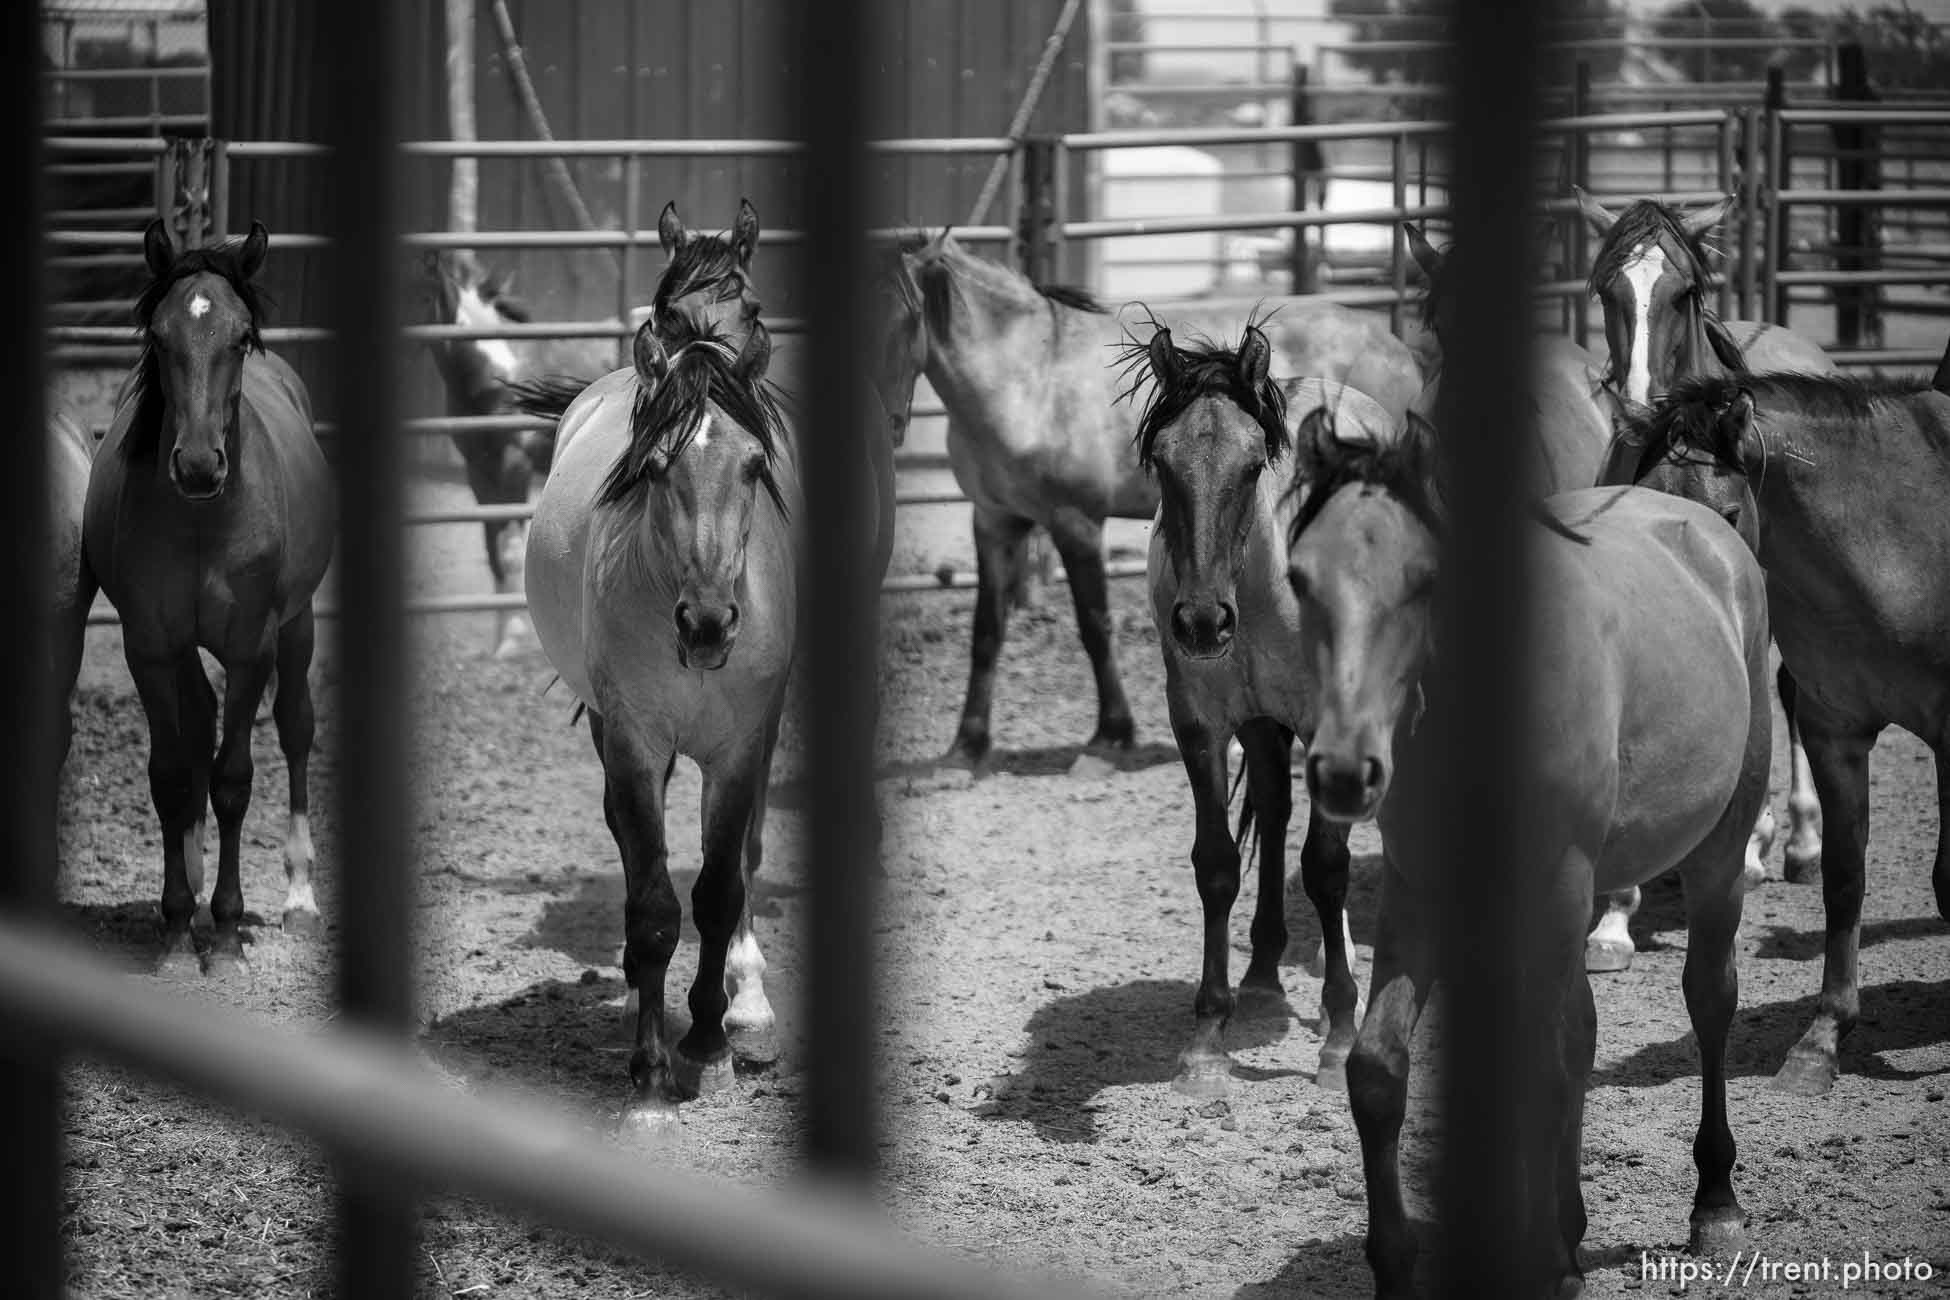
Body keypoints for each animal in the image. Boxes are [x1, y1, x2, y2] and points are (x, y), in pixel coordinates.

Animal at [81, 226, 335, 974]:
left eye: (241, 336)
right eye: (159, 336)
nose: (198, 465)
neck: (202, 522)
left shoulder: (252, 648)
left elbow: (234, 778)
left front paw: (223, 935)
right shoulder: (149, 646)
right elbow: (171, 774)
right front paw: (174, 927)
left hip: (298, 626)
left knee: (296, 728)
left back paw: (298, 899)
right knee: (195, 722)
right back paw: (190, 895)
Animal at [877, 230, 1427, 771]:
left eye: (908, 315)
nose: (889, 424)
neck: (1029, 377)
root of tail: (1400, 350)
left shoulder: (1076, 521)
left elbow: (1094, 625)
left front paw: (1112, 733)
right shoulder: (994, 520)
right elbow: (987, 631)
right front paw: (967, 745)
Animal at [1115, 317, 1388, 1099]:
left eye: (1248, 468)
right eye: (1164, 464)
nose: (1203, 622)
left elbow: (1326, 868)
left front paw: (1340, 1033)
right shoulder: (1199, 721)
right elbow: (1217, 863)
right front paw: (1208, 1038)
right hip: (1265, 727)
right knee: (1273, 804)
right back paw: (1264, 972)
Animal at [1287, 403, 1778, 1294]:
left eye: (1426, 580)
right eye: (1301, 579)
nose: (1342, 771)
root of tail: (1706, 536)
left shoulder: (1556, 889)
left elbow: (1554, 1061)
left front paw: (1555, 1256)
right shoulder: (1421, 890)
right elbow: (1378, 1069)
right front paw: (1396, 1262)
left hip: (1717, 856)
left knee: (1708, 997)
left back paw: (1714, 1202)